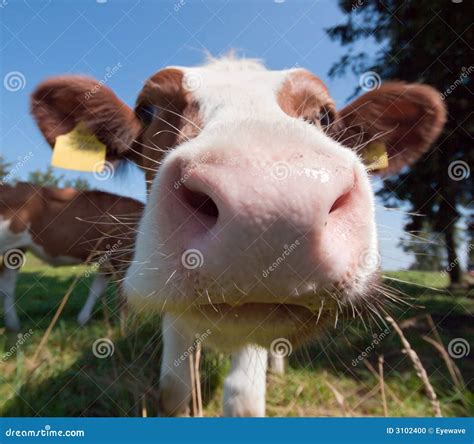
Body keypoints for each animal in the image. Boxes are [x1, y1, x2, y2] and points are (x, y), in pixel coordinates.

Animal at [0, 182, 143, 332]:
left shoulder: (106, 262)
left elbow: (96, 290)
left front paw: (83, 319)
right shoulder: (122, 257)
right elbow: (123, 294)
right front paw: (125, 328)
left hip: (16, 249)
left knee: (7, 284)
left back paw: (13, 325)